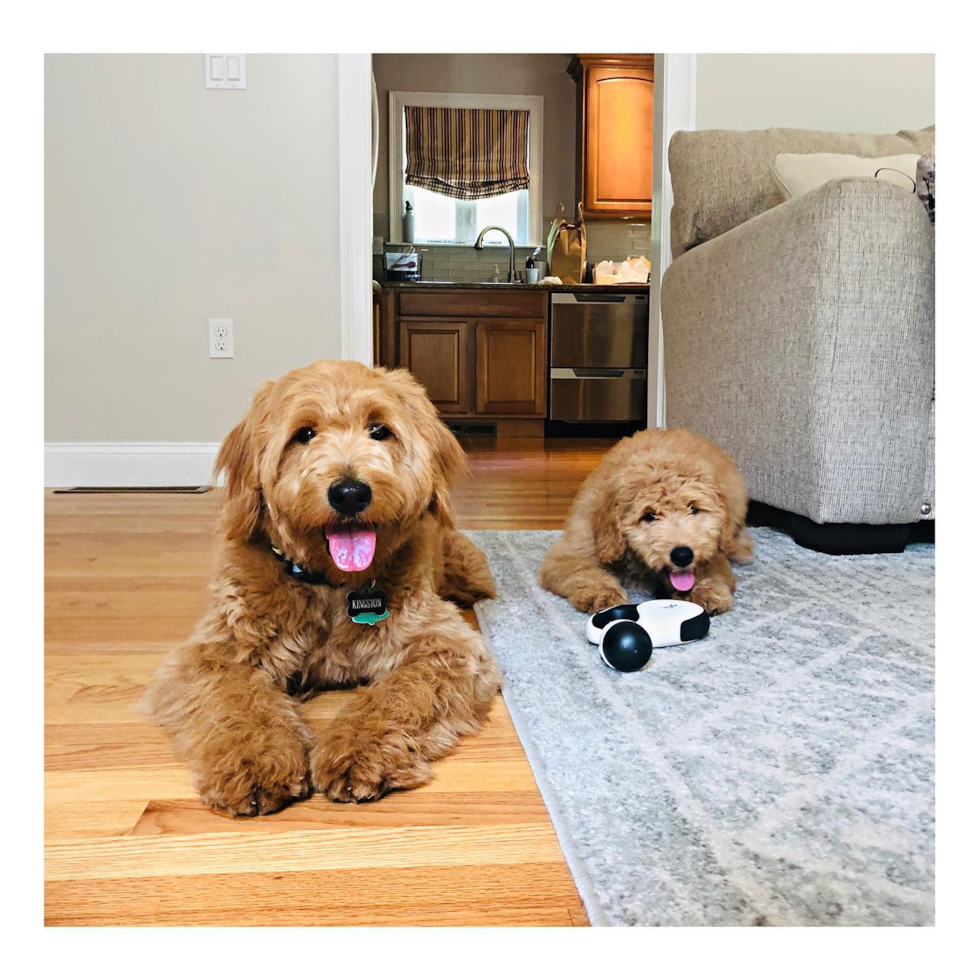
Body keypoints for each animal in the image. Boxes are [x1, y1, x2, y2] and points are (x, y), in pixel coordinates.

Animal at [145, 364, 498, 816]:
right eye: (305, 434)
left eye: (379, 429)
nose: (350, 492)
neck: (331, 585)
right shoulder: (213, 653)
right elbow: (237, 700)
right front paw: (254, 761)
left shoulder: (446, 646)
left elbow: (399, 694)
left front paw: (357, 751)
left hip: (468, 571)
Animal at [540, 426, 756, 612]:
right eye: (649, 515)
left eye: (693, 508)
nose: (682, 555)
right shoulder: (575, 549)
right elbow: (584, 571)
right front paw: (603, 594)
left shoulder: (711, 549)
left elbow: (712, 568)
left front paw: (705, 591)